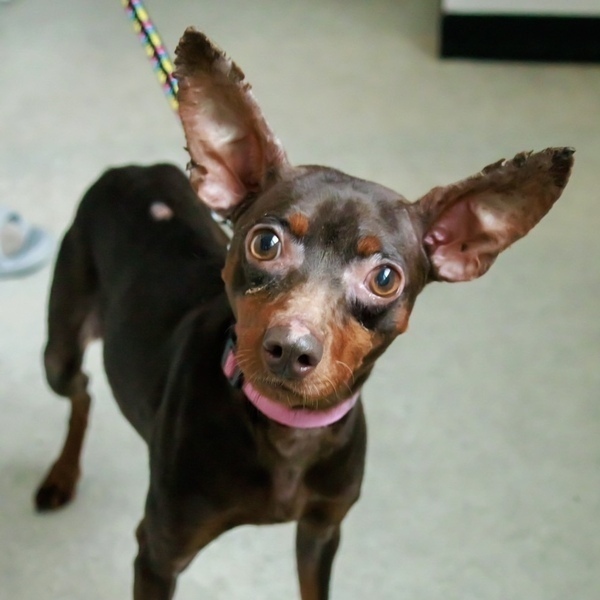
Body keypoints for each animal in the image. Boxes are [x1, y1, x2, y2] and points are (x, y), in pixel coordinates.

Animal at [35, 28, 574, 599]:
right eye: (265, 242)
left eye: (386, 278)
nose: (290, 349)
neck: (288, 432)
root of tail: (129, 171)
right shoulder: (159, 552)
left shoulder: (321, 532)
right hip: (58, 352)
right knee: (81, 391)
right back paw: (62, 475)